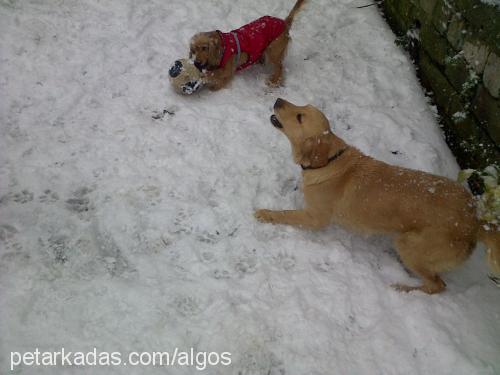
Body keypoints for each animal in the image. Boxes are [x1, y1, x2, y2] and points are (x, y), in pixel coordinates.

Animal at [256, 98, 498, 296]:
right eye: (302, 106)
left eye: (300, 117)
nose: (278, 99)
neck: (329, 160)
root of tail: (475, 220)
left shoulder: (315, 218)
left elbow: (285, 214)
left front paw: (265, 214)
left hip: (407, 244)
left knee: (436, 285)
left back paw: (404, 289)